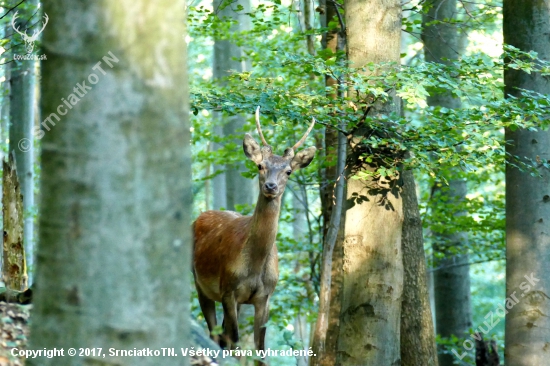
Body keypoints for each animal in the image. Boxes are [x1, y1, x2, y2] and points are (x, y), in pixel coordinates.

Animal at [194, 107, 316, 362]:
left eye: (288, 171)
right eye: (260, 166)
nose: (271, 186)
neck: (255, 267)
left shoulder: (265, 297)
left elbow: (260, 351)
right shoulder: (228, 289)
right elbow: (237, 344)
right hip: (200, 284)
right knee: (215, 335)